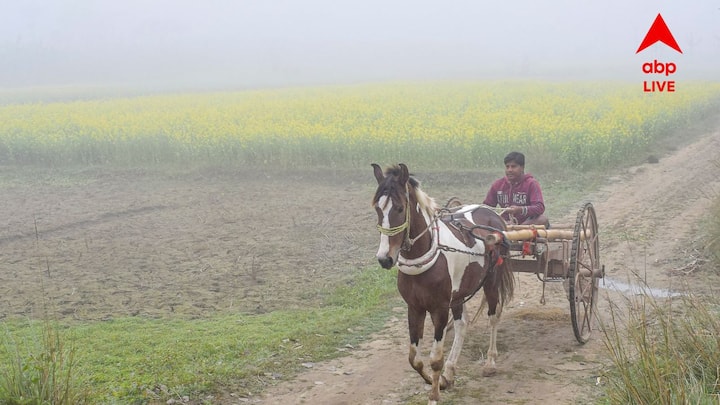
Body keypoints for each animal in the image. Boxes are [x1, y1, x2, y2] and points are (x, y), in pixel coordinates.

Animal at [372, 163, 512, 402]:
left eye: (399, 208)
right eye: (377, 209)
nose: (384, 258)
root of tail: (492, 214)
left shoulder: (439, 309)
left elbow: (435, 358)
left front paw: (434, 396)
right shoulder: (415, 308)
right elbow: (414, 359)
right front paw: (436, 381)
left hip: (491, 281)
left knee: (494, 316)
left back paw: (490, 362)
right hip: (459, 294)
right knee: (462, 324)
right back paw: (450, 370)